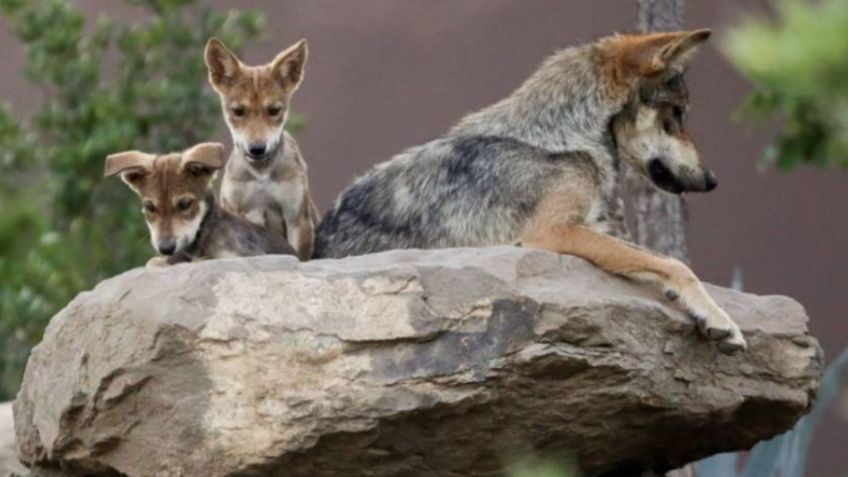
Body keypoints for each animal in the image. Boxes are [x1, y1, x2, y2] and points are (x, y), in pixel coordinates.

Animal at [314, 28, 744, 350]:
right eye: (678, 115)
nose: (713, 180)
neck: (560, 136)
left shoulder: (598, 228)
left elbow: (656, 259)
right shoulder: (554, 232)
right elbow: (676, 264)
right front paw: (721, 319)